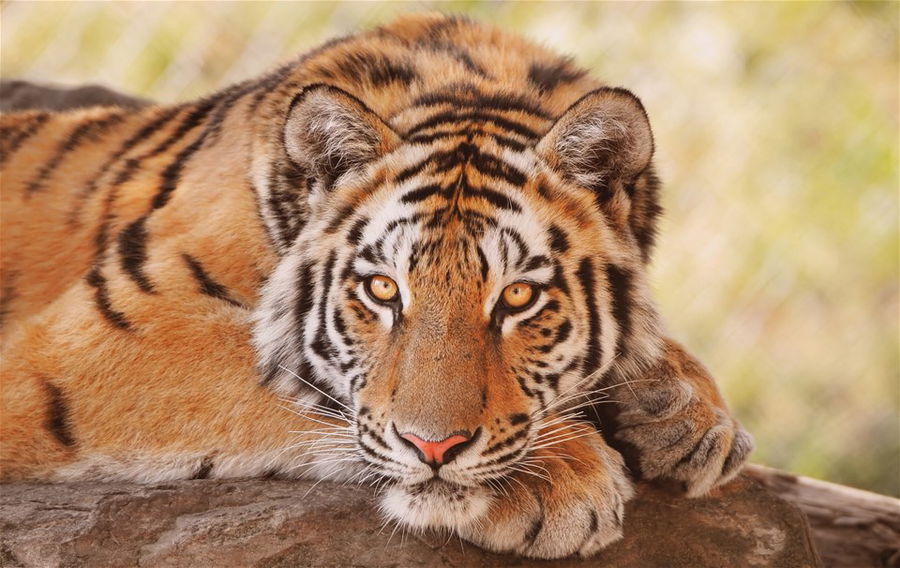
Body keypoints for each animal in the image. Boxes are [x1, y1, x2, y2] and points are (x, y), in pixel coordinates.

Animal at [0, 12, 756, 560]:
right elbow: (304, 387)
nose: (435, 451)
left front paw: (686, 412)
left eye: (517, 297)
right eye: (384, 291)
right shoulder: (101, 338)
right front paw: (561, 476)